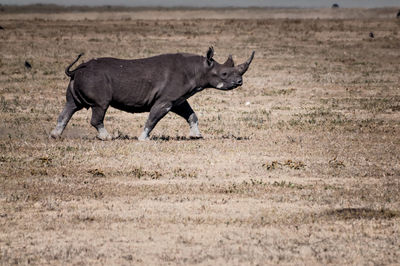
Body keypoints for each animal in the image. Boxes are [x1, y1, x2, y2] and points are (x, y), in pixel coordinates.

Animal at [50, 46, 253, 140]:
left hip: (81, 80)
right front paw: (143, 139)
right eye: (224, 74)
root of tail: (76, 70)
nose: (239, 82)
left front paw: (197, 136)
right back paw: (108, 138)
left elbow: (191, 114)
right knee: (100, 106)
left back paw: (55, 136)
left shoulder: (178, 100)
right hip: (96, 81)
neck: (200, 68)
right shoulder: (166, 100)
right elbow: (153, 118)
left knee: (70, 106)